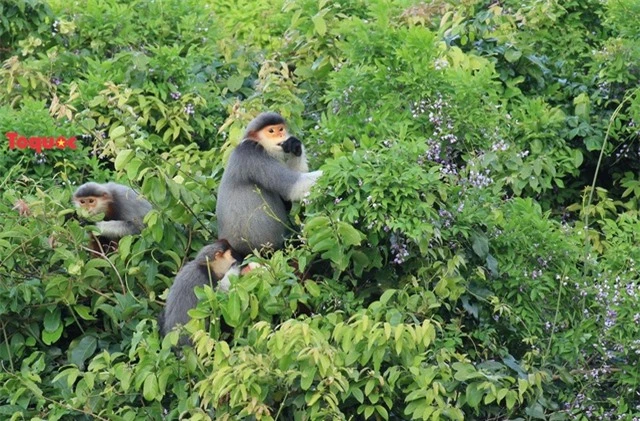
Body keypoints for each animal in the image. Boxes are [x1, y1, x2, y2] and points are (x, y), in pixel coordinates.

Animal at [216, 111, 324, 256]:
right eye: (271, 131)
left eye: (281, 129)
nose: (281, 135)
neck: (258, 143)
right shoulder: (252, 154)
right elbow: (292, 186)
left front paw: (295, 146)